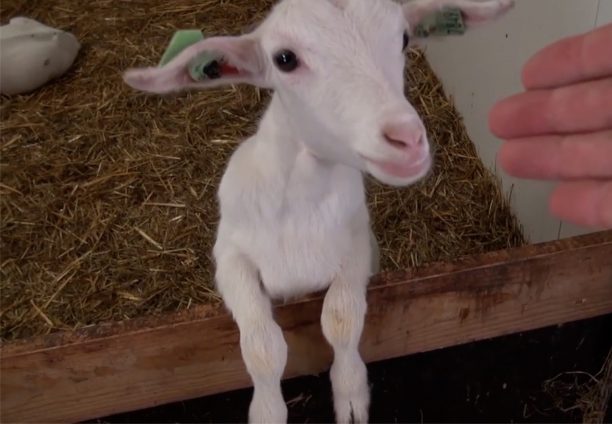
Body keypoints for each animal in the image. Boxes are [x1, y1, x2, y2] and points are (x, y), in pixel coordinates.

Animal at [126, 0, 512, 420]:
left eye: (404, 38)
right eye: (284, 59)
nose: (407, 139)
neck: (299, 207)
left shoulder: (358, 243)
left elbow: (341, 319)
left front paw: (351, 397)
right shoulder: (230, 257)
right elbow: (262, 347)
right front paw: (268, 412)